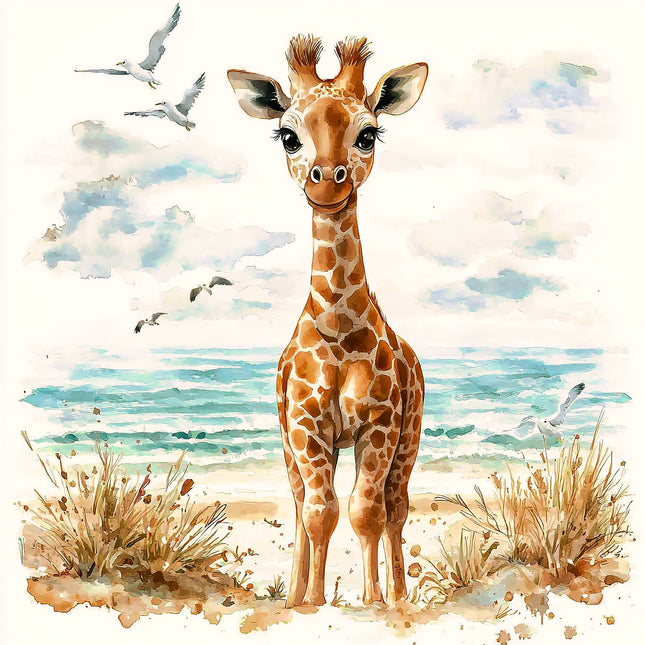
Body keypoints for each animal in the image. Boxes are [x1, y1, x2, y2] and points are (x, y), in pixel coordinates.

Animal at [228, 35, 427, 608]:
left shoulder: (379, 425)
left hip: (410, 436)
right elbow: (320, 513)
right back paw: (295, 594)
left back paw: (400, 594)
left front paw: (375, 601)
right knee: (299, 506)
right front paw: (311, 602)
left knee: (396, 508)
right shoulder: (304, 426)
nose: (326, 180)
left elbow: (365, 512)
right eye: (288, 135)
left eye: (368, 133)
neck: (338, 326)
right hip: (289, 439)